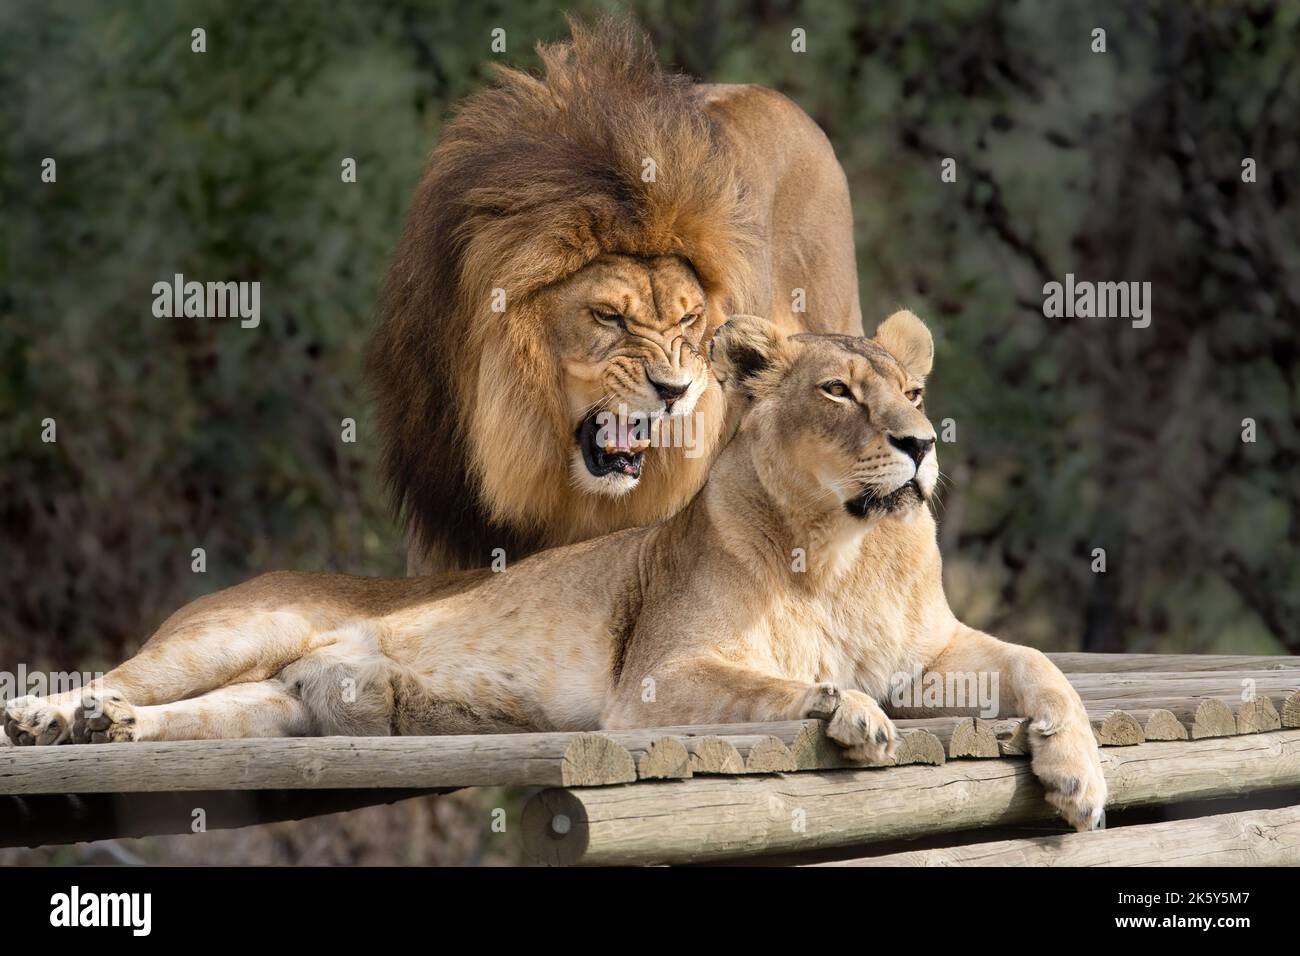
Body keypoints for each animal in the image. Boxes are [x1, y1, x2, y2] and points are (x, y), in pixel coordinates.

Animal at [7, 312, 1107, 832]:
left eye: (913, 390)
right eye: (838, 391)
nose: (921, 444)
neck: (841, 549)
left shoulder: (935, 653)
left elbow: (1043, 665)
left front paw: (1077, 780)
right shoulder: (655, 679)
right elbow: (784, 682)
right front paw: (853, 712)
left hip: (274, 712)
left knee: (187, 719)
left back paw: (109, 729)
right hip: (242, 627)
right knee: (120, 673)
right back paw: (51, 716)